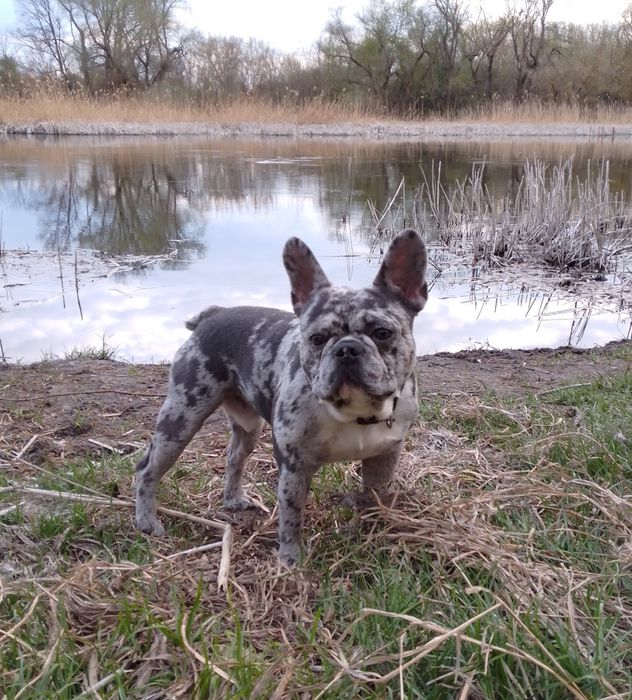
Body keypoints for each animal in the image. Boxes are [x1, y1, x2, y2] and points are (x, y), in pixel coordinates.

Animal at [134, 228, 428, 565]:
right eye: (316, 338)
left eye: (382, 333)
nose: (346, 349)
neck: (354, 412)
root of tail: (213, 316)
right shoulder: (293, 466)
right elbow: (291, 512)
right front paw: (291, 558)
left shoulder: (384, 457)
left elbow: (375, 496)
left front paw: (373, 530)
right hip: (180, 420)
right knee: (147, 469)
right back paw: (146, 521)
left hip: (248, 426)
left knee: (234, 456)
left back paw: (233, 499)